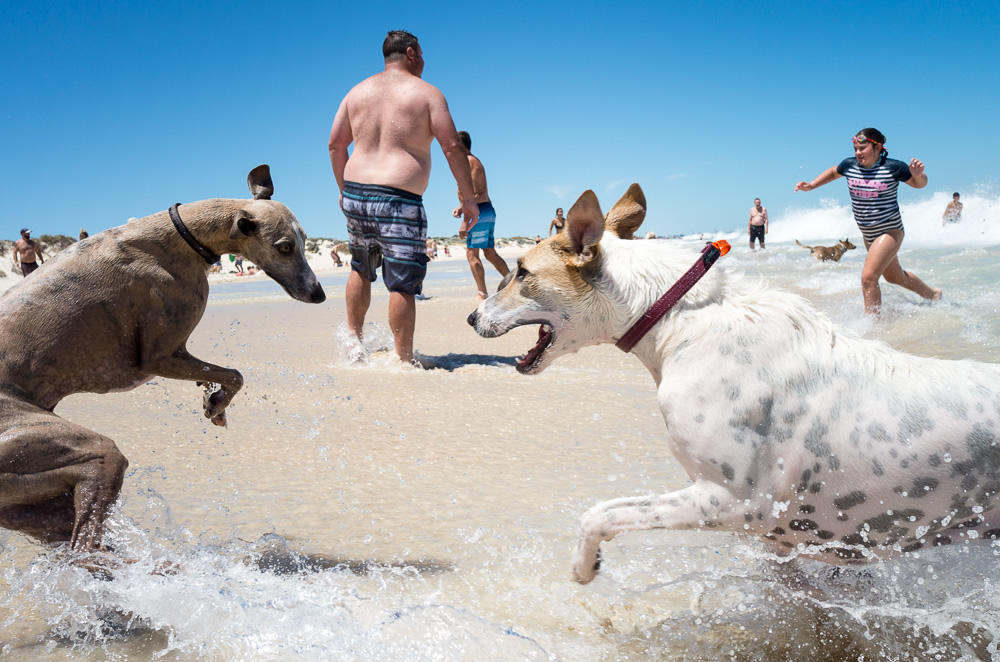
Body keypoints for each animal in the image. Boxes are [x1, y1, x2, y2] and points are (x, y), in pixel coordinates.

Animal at [0, 166, 324, 560]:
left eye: (303, 239)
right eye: (285, 247)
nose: (319, 294)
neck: (182, 235)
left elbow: (225, 376)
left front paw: (212, 399)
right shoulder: (160, 356)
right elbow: (235, 374)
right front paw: (216, 403)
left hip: (35, 502)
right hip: (78, 454)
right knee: (85, 549)